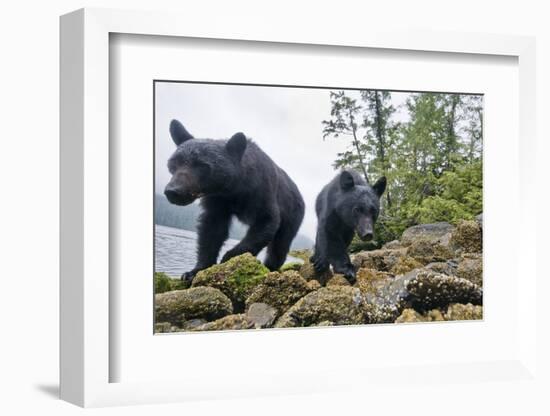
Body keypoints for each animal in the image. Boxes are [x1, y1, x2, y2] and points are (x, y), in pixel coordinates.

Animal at [166, 118, 308, 284]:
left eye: (202, 165)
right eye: (174, 162)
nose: (173, 191)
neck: (234, 187)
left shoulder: (261, 190)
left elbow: (267, 222)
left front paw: (229, 258)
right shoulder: (218, 200)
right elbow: (211, 229)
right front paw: (193, 271)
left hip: (293, 214)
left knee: (281, 244)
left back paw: (271, 267)